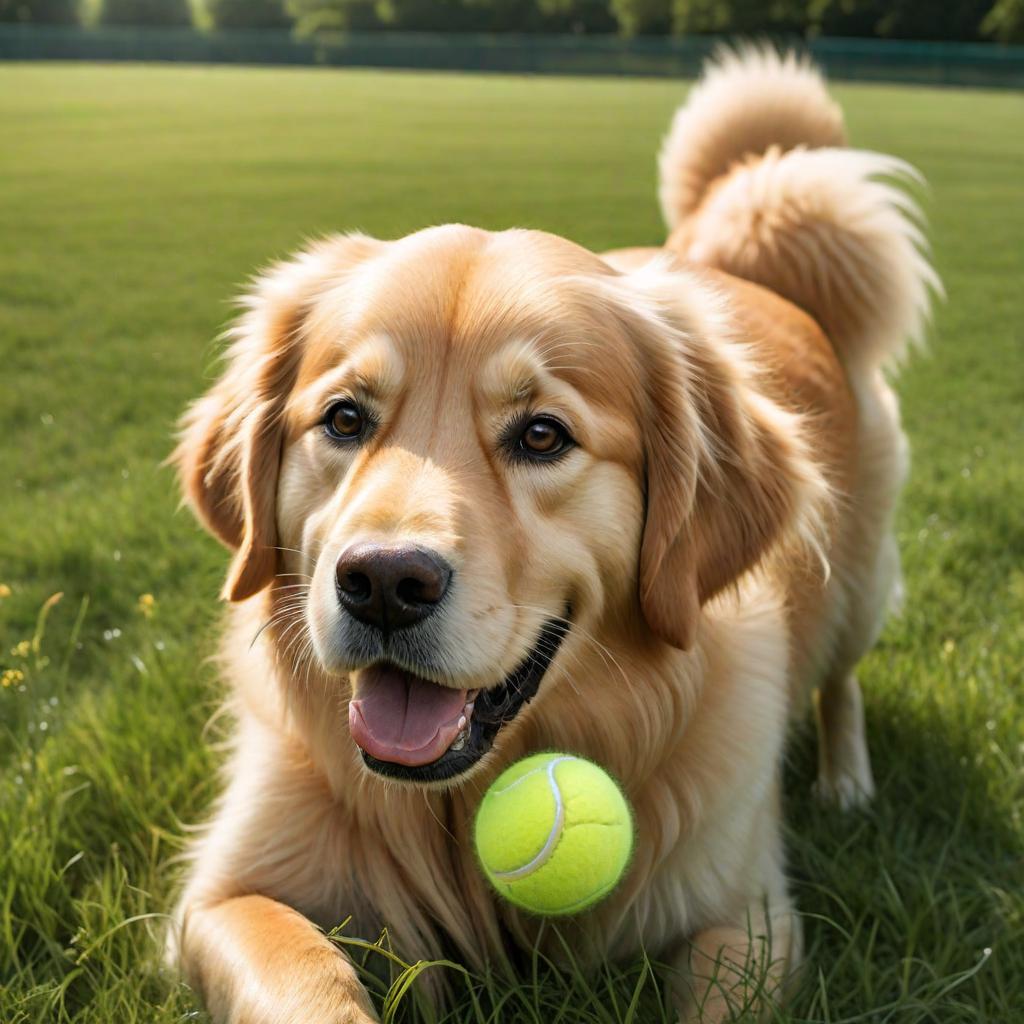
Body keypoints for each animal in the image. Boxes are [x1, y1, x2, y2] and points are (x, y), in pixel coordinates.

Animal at [165, 48, 937, 1024]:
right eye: (343, 419)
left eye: (542, 435)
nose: (383, 583)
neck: (454, 809)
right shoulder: (226, 898)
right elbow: (311, 986)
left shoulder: (745, 919)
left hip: (861, 580)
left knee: (840, 678)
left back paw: (846, 783)